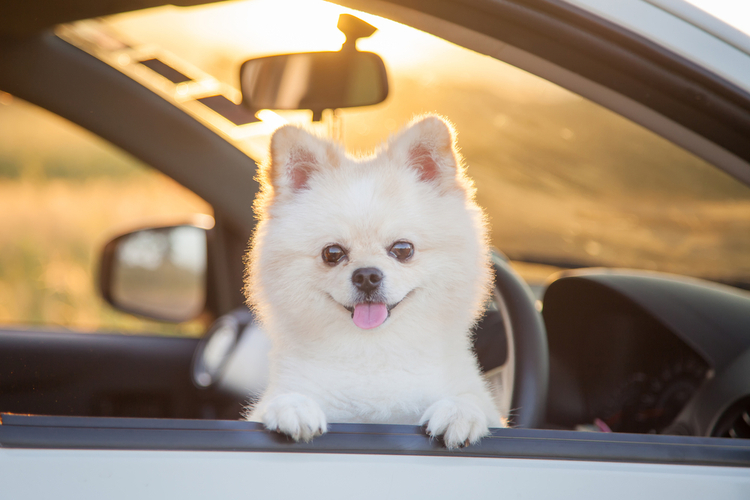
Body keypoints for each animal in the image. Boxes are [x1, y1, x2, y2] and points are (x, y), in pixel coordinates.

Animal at [248, 115, 506, 448]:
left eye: (403, 249)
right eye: (332, 253)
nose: (367, 275)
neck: (374, 353)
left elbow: (473, 401)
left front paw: (460, 411)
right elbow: (284, 398)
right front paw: (293, 405)